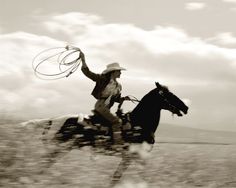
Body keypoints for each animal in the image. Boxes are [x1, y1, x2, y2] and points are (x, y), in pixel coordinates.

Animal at [40, 81, 188, 186]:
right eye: (168, 95)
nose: (186, 107)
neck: (138, 123)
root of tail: (55, 119)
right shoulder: (131, 156)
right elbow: (118, 176)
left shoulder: (136, 157)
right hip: (61, 145)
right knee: (47, 160)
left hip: (66, 146)